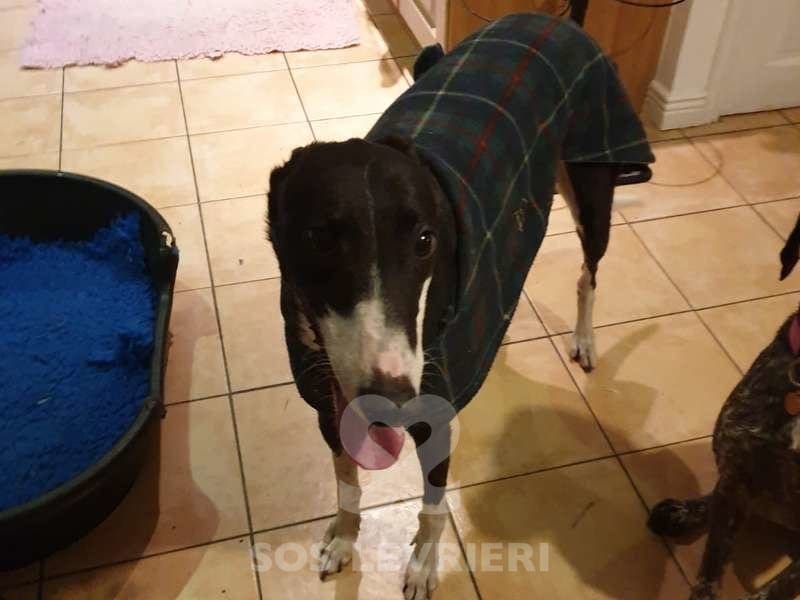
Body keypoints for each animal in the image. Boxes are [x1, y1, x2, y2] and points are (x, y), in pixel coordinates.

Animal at [267, 13, 653, 599]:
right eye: (318, 238)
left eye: (426, 240)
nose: (390, 399)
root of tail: (558, 19)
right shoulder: (326, 403)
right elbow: (346, 480)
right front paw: (343, 538)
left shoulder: (435, 410)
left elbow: (431, 505)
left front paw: (425, 565)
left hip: (593, 183)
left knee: (589, 274)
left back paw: (585, 340)